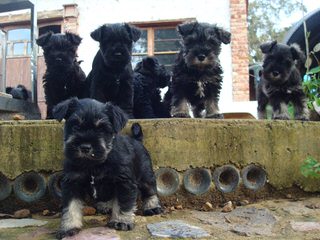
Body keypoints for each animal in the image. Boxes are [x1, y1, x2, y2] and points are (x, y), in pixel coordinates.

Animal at [53, 98, 161, 239]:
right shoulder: (72, 183)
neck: (93, 165)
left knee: (151, 192)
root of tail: (137, 140)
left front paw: (121, 221)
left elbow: (123, 203)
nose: (85, 147)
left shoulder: (124, 182)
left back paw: (152, 207)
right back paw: (105, 206)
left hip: (146, 177)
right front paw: (69, 227)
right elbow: (71, 207)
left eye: (102, 129)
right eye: (76, 126)